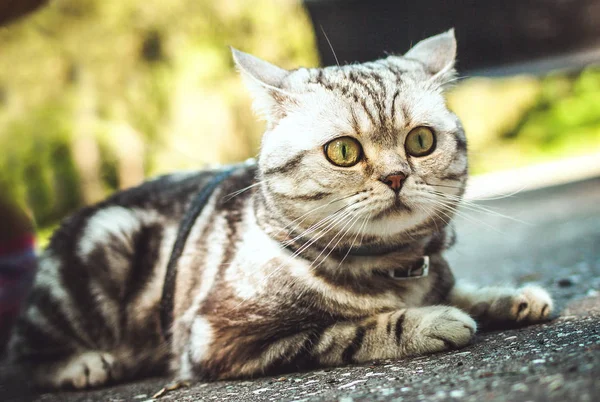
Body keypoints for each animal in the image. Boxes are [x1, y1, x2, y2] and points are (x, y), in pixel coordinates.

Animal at [8, 30, 552, 390]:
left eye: (420, 142)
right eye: (344, 152)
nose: (397, 176)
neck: (392, 264)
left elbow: (462, 289)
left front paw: (508, 297)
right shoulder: (222, 339)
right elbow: (355, 330)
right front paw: (433, 320)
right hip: (107, 247)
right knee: (23, 354)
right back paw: (84, 364)